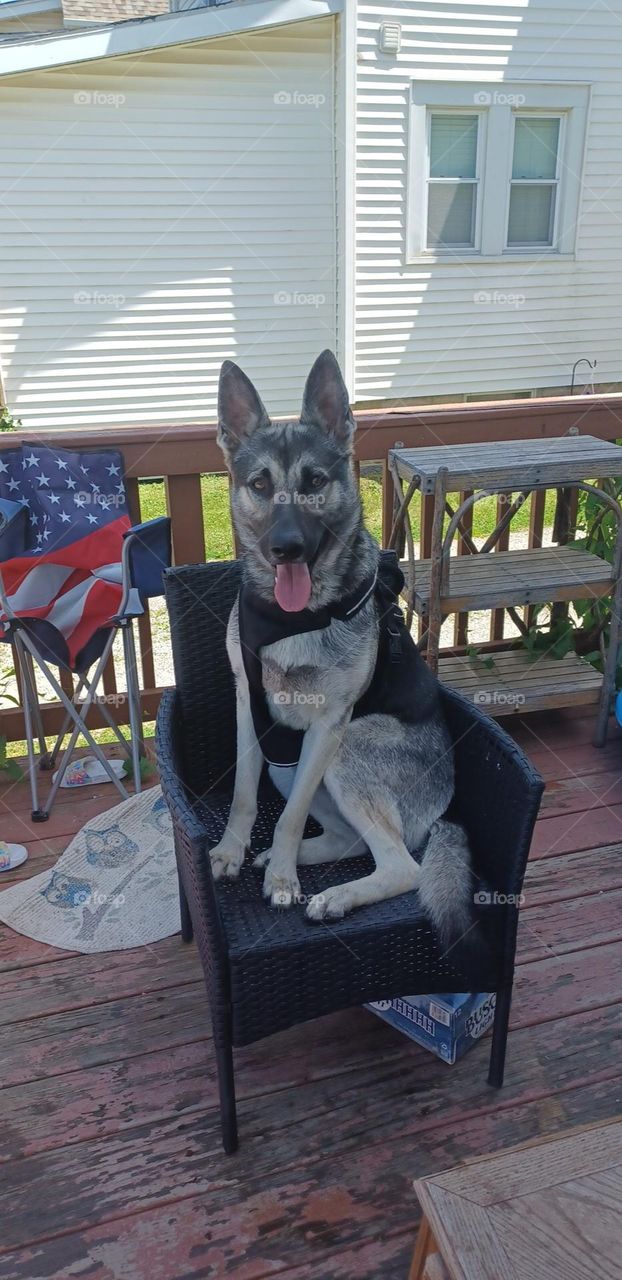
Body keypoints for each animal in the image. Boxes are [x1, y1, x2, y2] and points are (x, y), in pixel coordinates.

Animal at [208, 350, 476, 952]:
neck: (293, 617)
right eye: (259, 484)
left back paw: (326, 891)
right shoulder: (246, 709)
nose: (286, 548)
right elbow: (242, 794)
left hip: (349, 746)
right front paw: (235, 851)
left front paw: (285, 881)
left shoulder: (330, 725)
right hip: (287, 761)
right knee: (348, 841)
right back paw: (289, 860)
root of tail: (445, 804)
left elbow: (288, 817)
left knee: (403, 866)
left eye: (314, 481)